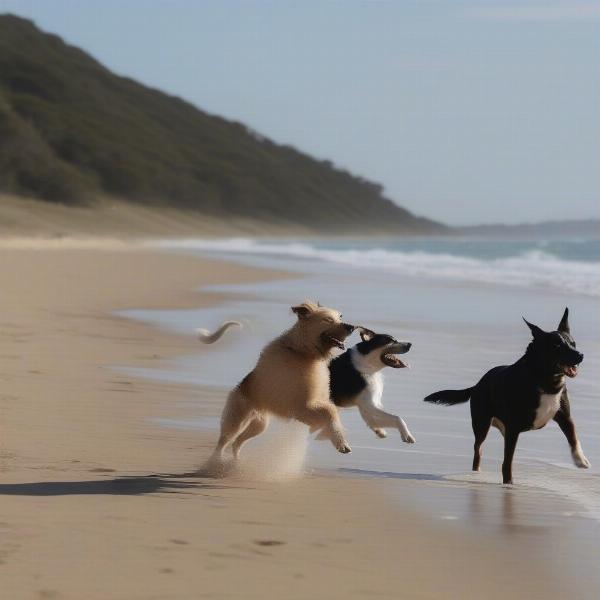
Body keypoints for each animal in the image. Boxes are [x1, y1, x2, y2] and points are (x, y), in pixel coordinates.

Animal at [209, 300, 354, 464]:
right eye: (328, 319)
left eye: (340, 317)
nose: (351, 327)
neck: (303, 352)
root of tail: (239, 387)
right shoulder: (301, 407)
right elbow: (330, 411)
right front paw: (339, 442)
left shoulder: (312, 404)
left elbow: (331, 412)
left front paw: (334, 437)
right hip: (236, 420)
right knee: (223, 442)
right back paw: (215, 461)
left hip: (259, 424)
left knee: (236, 443)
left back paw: (236, 463)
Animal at [424, 310, 588, 482]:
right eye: (557, 346)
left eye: (573, 344)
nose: (580, 355)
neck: (544, 379)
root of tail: (477, 385)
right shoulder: (513, 428)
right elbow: (507, 462)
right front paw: (508, 482)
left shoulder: (564, 416)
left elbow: (573, 436)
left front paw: (580, 460)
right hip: (482, 424)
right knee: (478, 450)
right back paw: (476, 472)